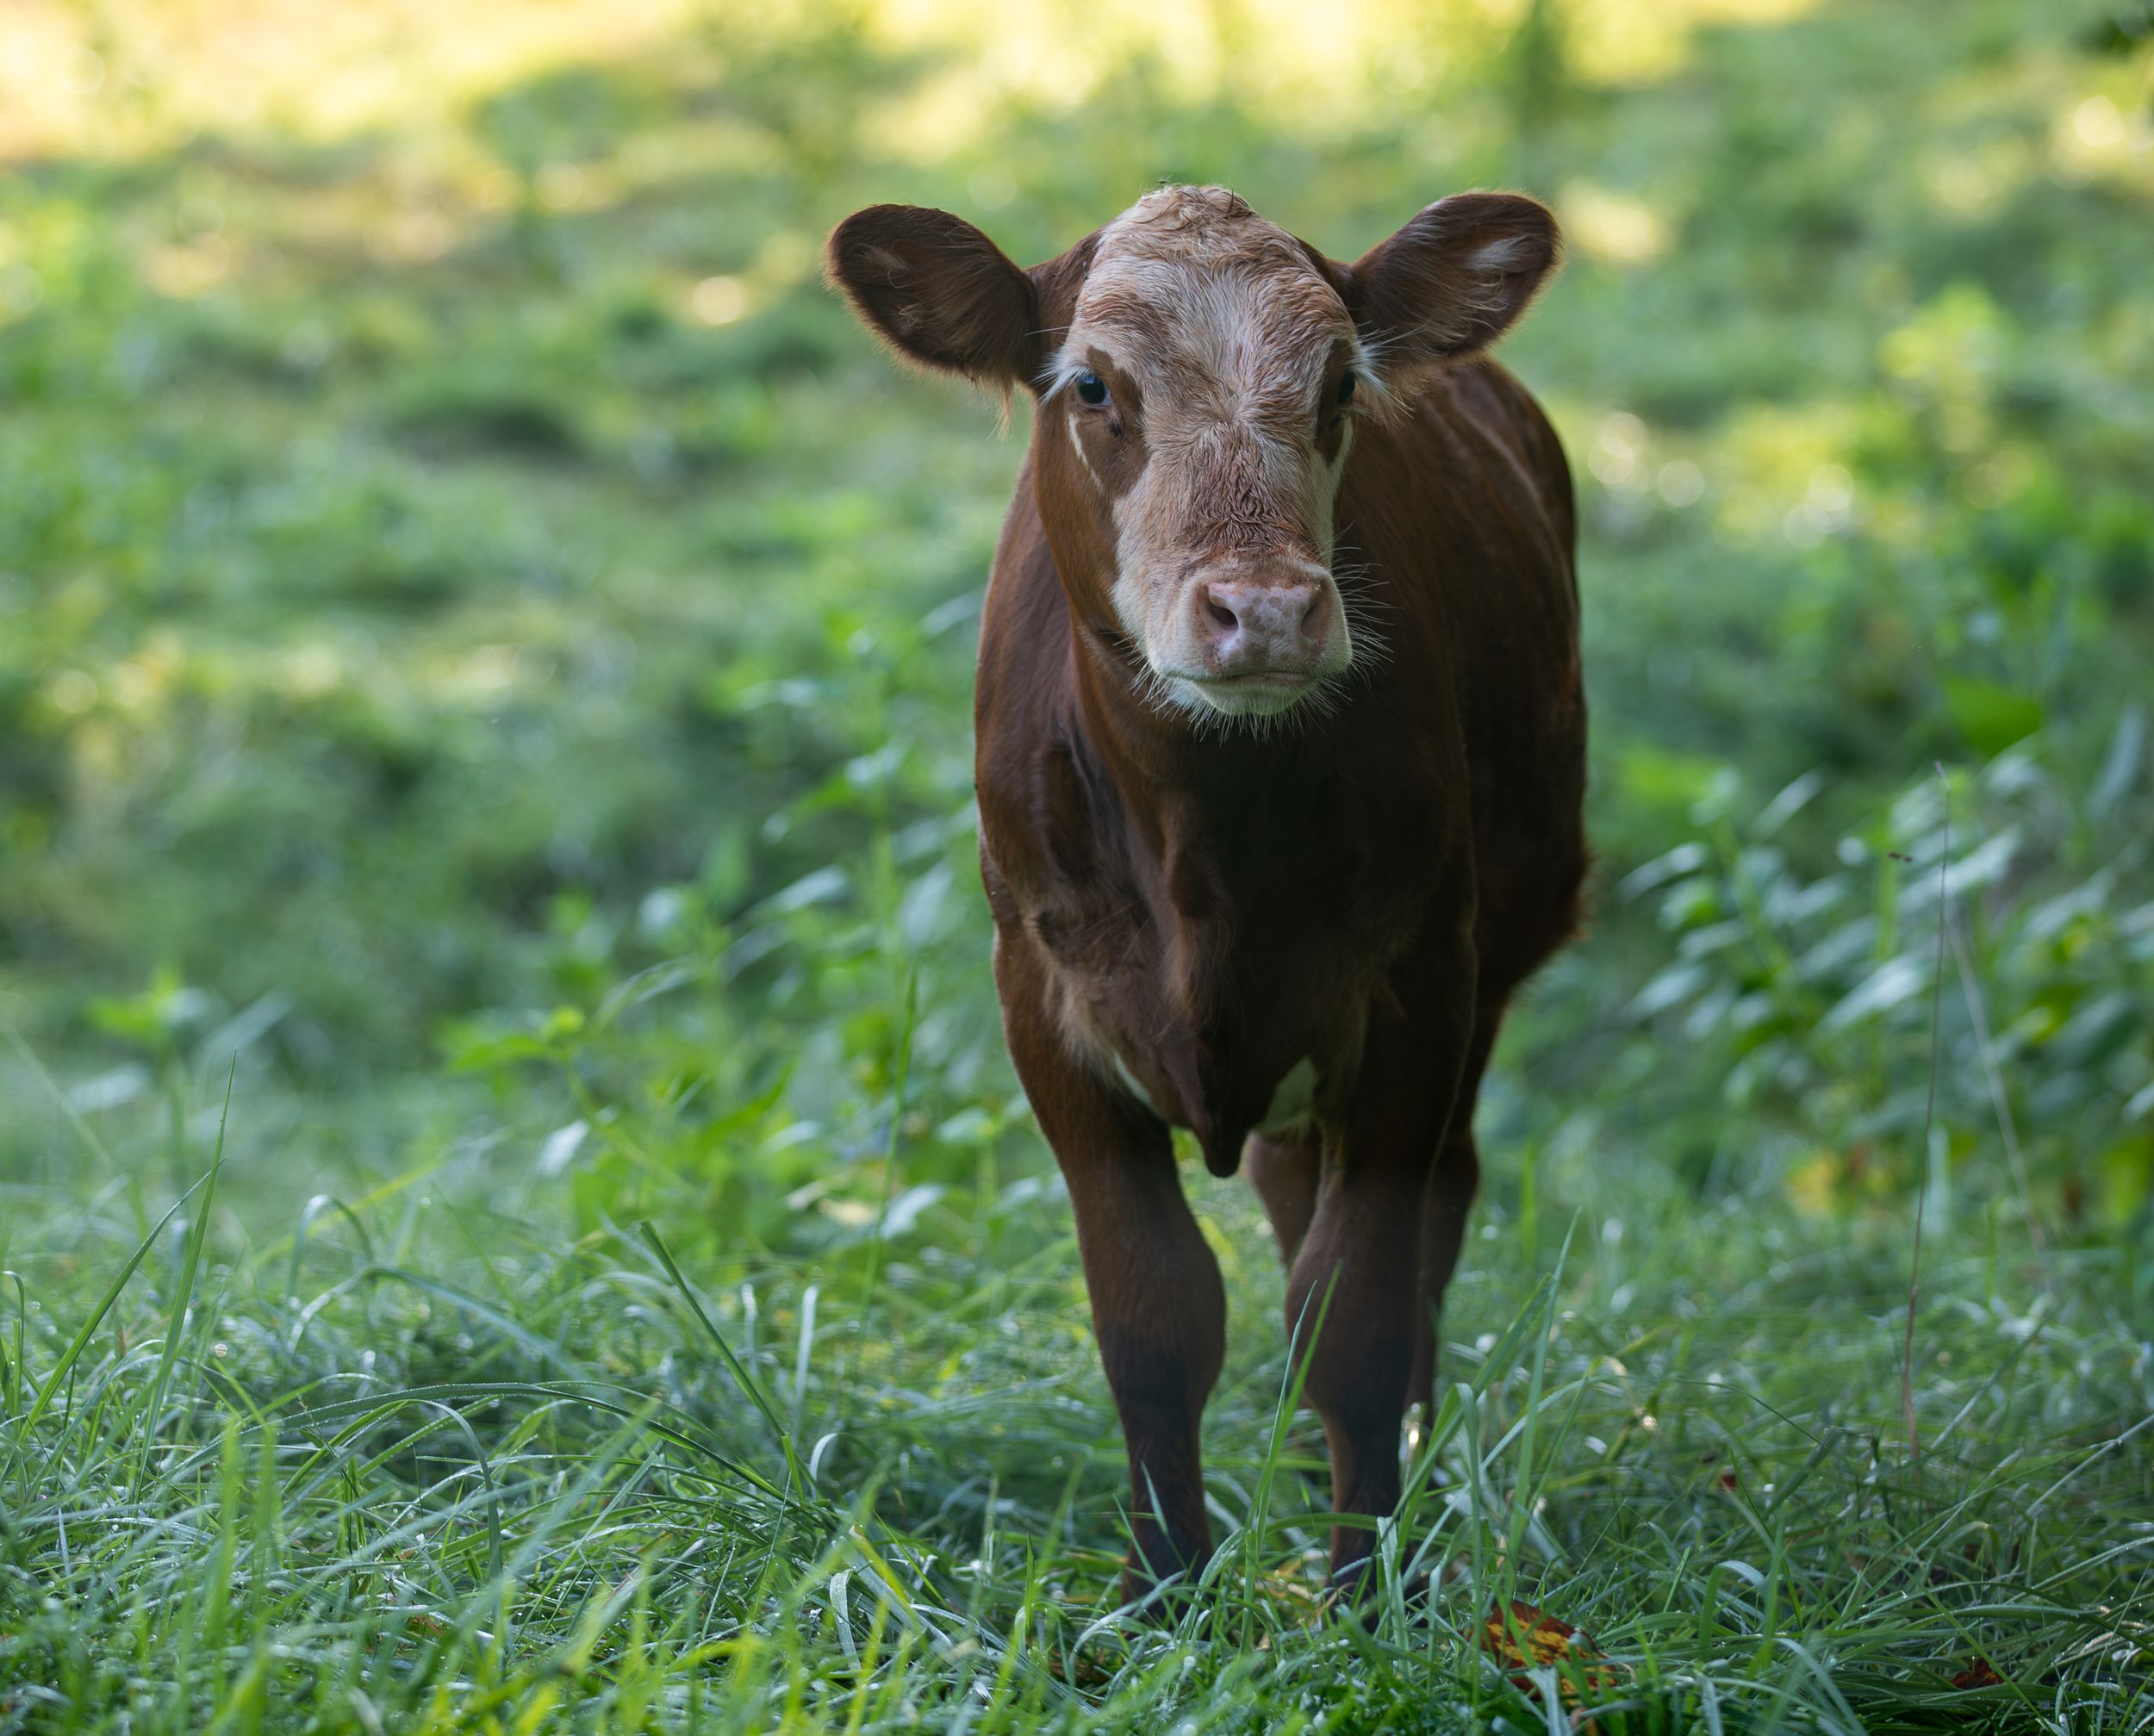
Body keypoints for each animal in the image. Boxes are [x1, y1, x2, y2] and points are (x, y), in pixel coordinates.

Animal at [827, 183, 1586, 1607]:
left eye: (1341, 382)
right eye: (1091, 384)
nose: (1268, 609)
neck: (1205, 848)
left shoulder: (1419, 988)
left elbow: (1355, 1310)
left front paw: (1365, 1591)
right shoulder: (1046, 1003)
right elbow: (1155, 1317)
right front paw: (1161, 1588)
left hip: (1499, 946)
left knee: (1430, 1209)